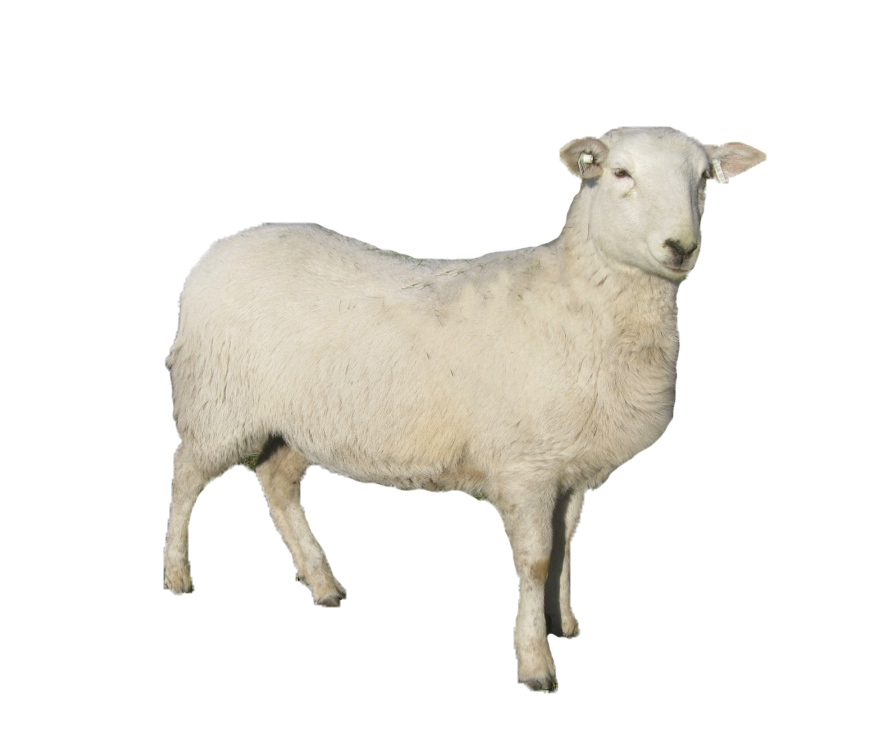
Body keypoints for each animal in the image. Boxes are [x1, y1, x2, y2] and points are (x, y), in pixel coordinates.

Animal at [164, 127, 766, 690]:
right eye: (620, 173)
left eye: (705, 178)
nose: (680, 248)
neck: (577, 299)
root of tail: (225, 246)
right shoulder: (525, 468)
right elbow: (535, 560)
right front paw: (536, 663)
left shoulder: (569, 467)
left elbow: (566, 543)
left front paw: (567, 625)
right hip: (220, 400)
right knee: (189, 473)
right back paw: (177, 576)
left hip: (302, 419)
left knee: (276, 478)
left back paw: (324, 583)